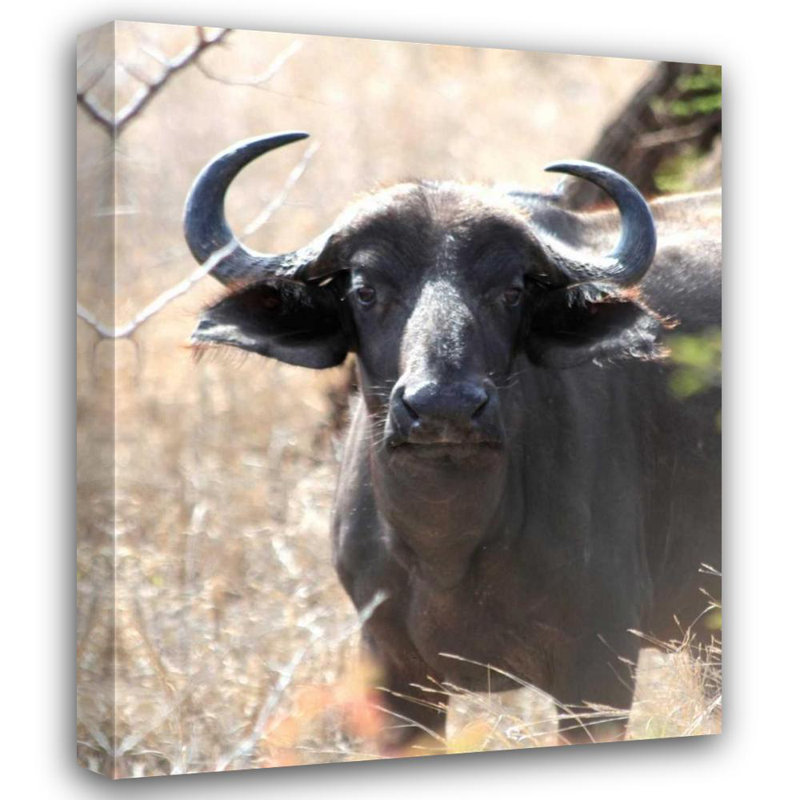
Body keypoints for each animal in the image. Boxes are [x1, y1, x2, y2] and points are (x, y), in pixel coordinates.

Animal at [184, 132, 721, 748]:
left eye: (511, 291)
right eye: (364, 290)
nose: (445, 407)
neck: (449, 546)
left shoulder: (599, 668)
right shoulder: (393, 676)